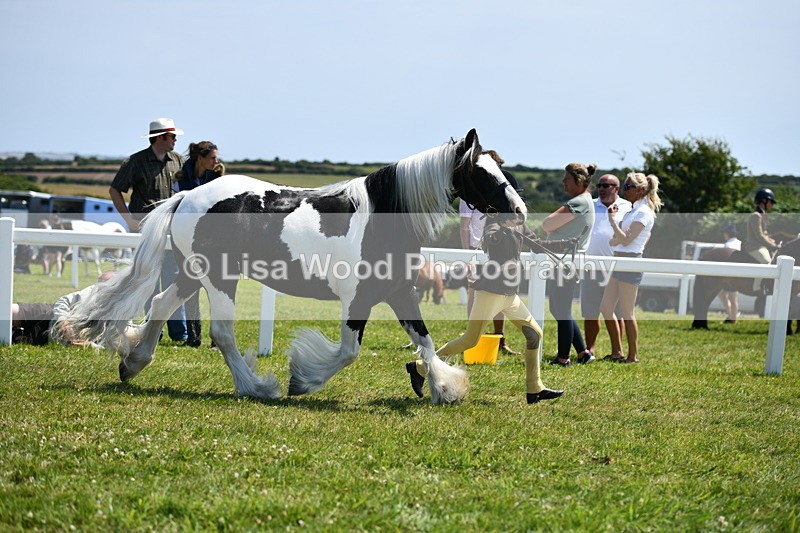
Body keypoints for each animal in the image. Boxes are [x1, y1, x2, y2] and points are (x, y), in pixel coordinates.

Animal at [58, 129, 526, 405]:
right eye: (482, 173)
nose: (520, 211)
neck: (383, 217)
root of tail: (185, 196)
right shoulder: (357, 300)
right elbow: (348, 352)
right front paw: (301, 379)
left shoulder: (398, 293)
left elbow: (426, 344)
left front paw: (444, 387)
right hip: (219, 278)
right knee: (221, 332)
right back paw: (256, 387)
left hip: (193, 275)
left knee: (158, 306)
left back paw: (133, 363)